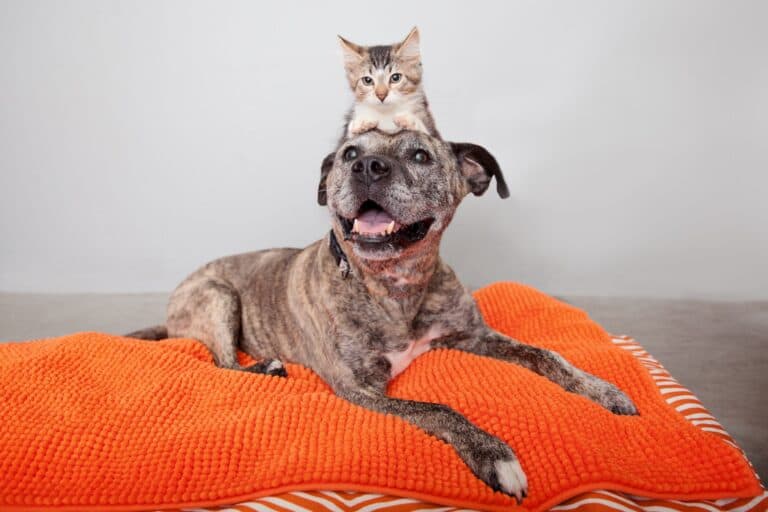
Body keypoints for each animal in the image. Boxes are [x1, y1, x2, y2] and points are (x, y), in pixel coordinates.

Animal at [129, 130, 640, 502]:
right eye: (349, 153)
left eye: (420, 155)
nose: (367, 167)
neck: (397, 286)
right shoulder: (360, 389)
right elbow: (436, 408)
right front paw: (493, 453)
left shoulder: (473, 336)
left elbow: (546, 354)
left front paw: (603, 390)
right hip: (216, 295)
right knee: (222, 364)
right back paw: (267, 368)